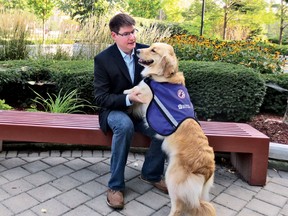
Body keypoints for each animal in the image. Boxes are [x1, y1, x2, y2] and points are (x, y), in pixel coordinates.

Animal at [124, 42, 216, 216]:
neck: (163, 77)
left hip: (172, 177)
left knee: (178, 206)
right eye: (149, 46)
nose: (137, 50)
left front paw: (127, 91)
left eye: (153, 50)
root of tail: (206, 169)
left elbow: (136, 90)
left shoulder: (146, 97)